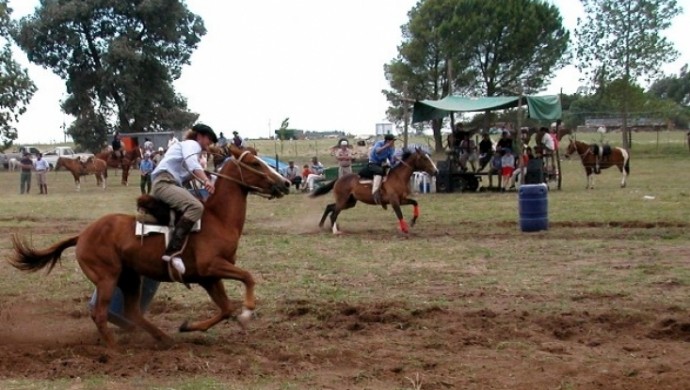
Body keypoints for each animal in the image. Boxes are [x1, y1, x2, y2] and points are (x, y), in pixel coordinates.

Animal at [10, 145, 290, 348]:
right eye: (255, 163)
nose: (286, 183)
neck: (218, 218)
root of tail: (83, 234)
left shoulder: (208, 277)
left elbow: (225, 308)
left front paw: (188, 326)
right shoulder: (212, 267)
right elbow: (248, 278)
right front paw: (247, 312)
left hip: (130, 278)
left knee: (132, 312)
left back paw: (163, 338)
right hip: (107, 277)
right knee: (100, 313)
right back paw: (115, 349)